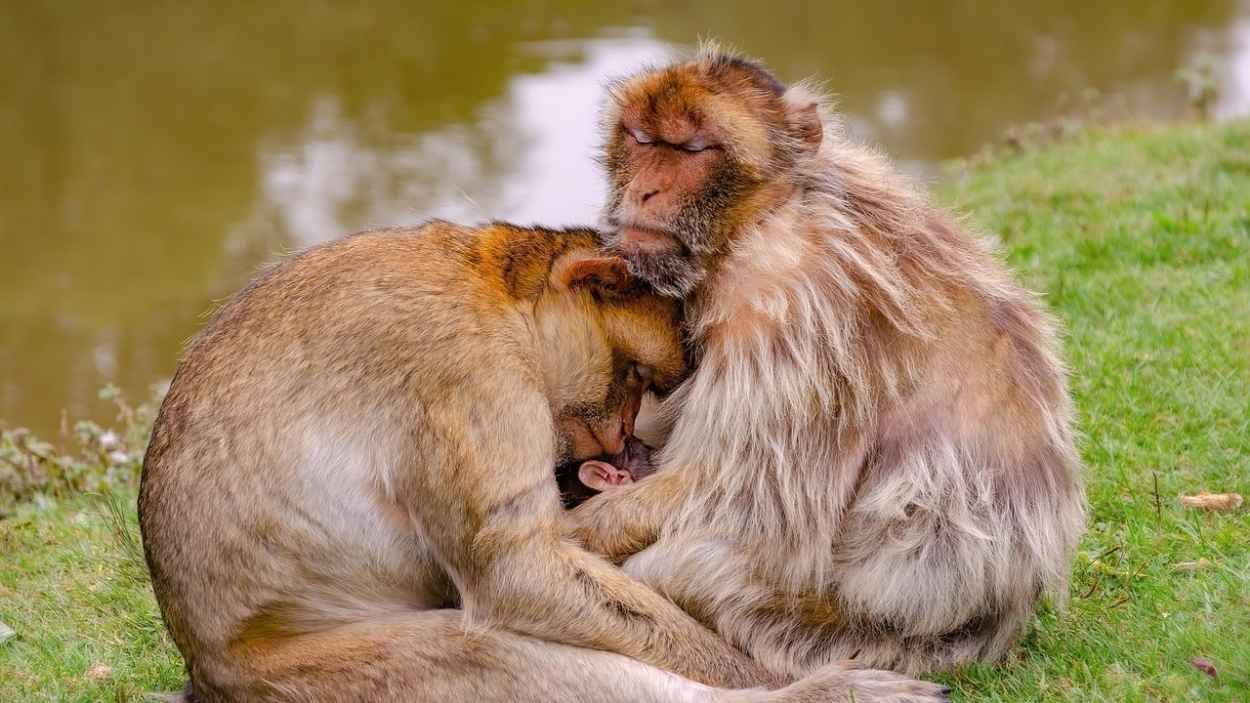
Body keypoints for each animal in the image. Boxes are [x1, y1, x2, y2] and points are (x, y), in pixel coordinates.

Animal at [138, 222, 948, 702]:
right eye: (635, 377)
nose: (620, 443)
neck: (495, 290)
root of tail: (205, 668)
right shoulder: (470, 374)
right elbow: (514, 570)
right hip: (306, 682)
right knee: (482, 649)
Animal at [570, 46, 1086, 678]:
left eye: (692, 149)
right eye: (642, 139)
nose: (644, 192)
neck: (762, 217)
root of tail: (1002, 617)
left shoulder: (789, 301)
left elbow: (747, 495)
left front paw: (570, 527)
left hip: (839, 632)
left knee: (697, 562)